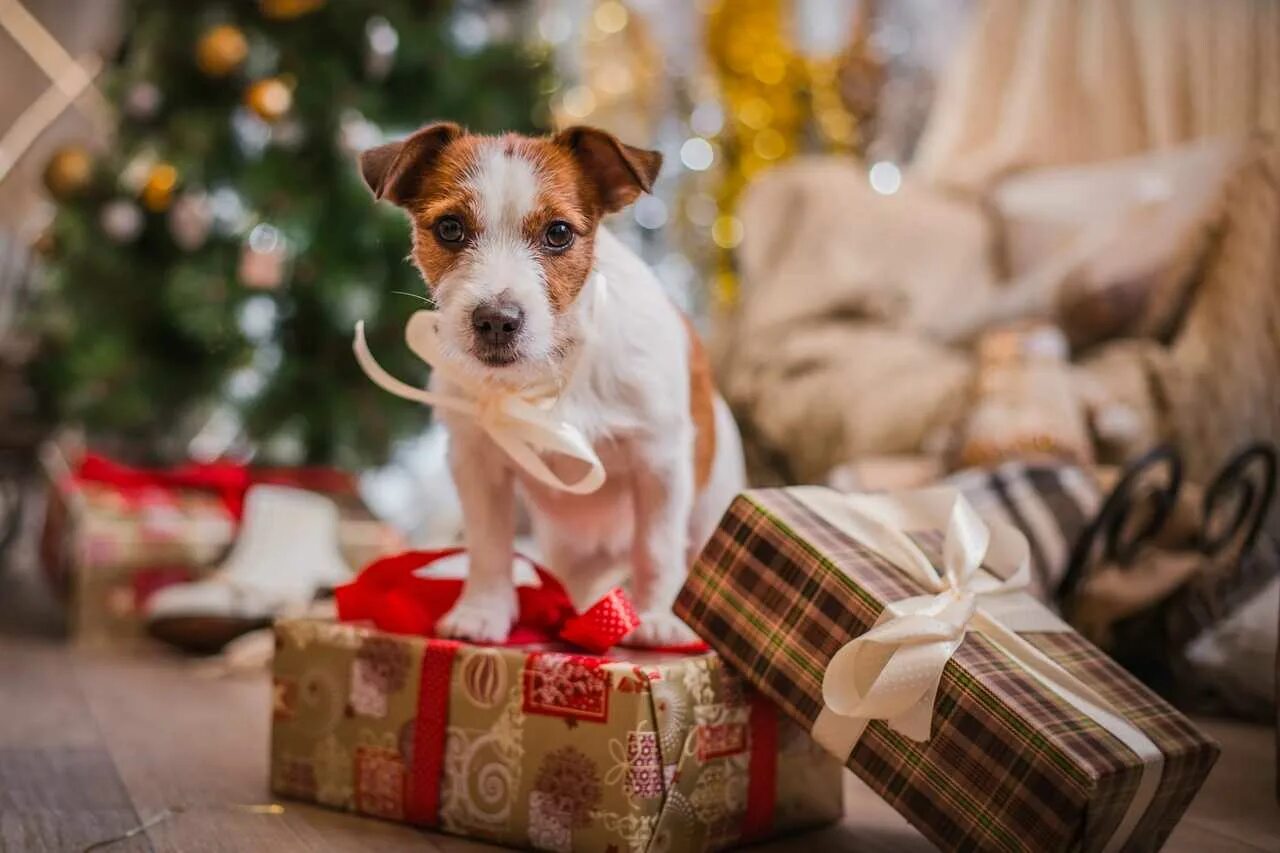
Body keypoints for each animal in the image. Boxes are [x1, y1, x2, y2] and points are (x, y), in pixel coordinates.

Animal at [355, 121, 747, 645]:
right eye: (450, 228)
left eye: (558, 233)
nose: (496, 321)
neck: (548, 373)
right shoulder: (478, 463)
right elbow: (489, 545)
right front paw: (483, 610)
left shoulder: (658, 463)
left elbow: (657, 548)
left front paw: (657, 616)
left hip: (709, 510)